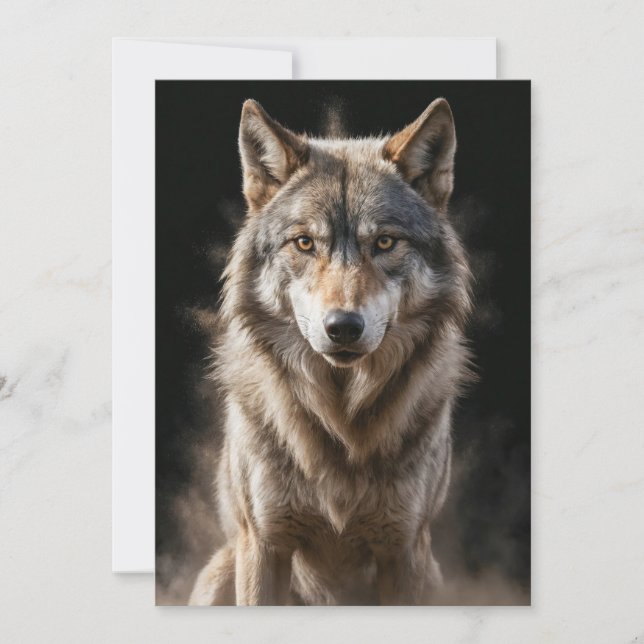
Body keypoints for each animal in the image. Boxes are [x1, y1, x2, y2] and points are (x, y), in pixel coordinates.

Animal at [189, 96, 472, 605]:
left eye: (384, 241)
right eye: (305, 242)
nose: (343, 327)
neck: (341, 419)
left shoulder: (404, 549)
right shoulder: (263, 544)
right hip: (220, 571)